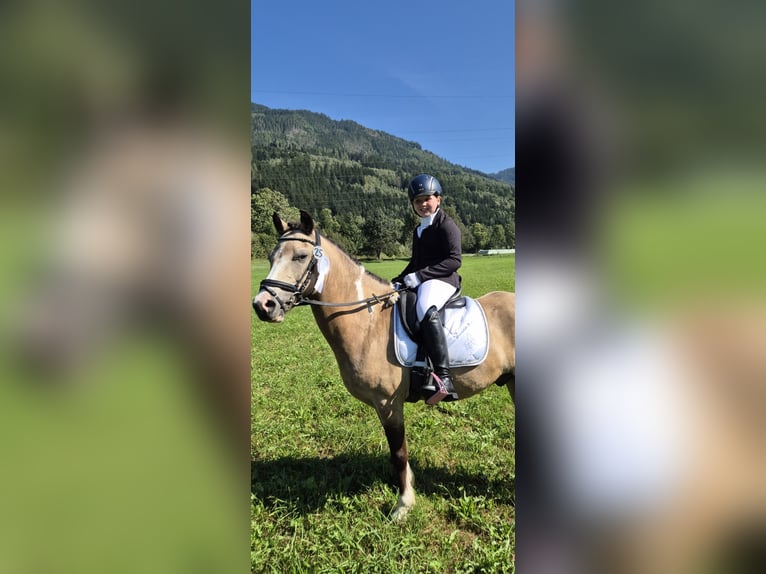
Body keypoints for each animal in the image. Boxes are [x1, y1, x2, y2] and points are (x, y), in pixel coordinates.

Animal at [252, 209, 515, 520]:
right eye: (271, 257)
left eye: (301, 256)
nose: (262, 305)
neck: (369, 322)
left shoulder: (388, 403)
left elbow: (398, 453)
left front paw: (403, 505)